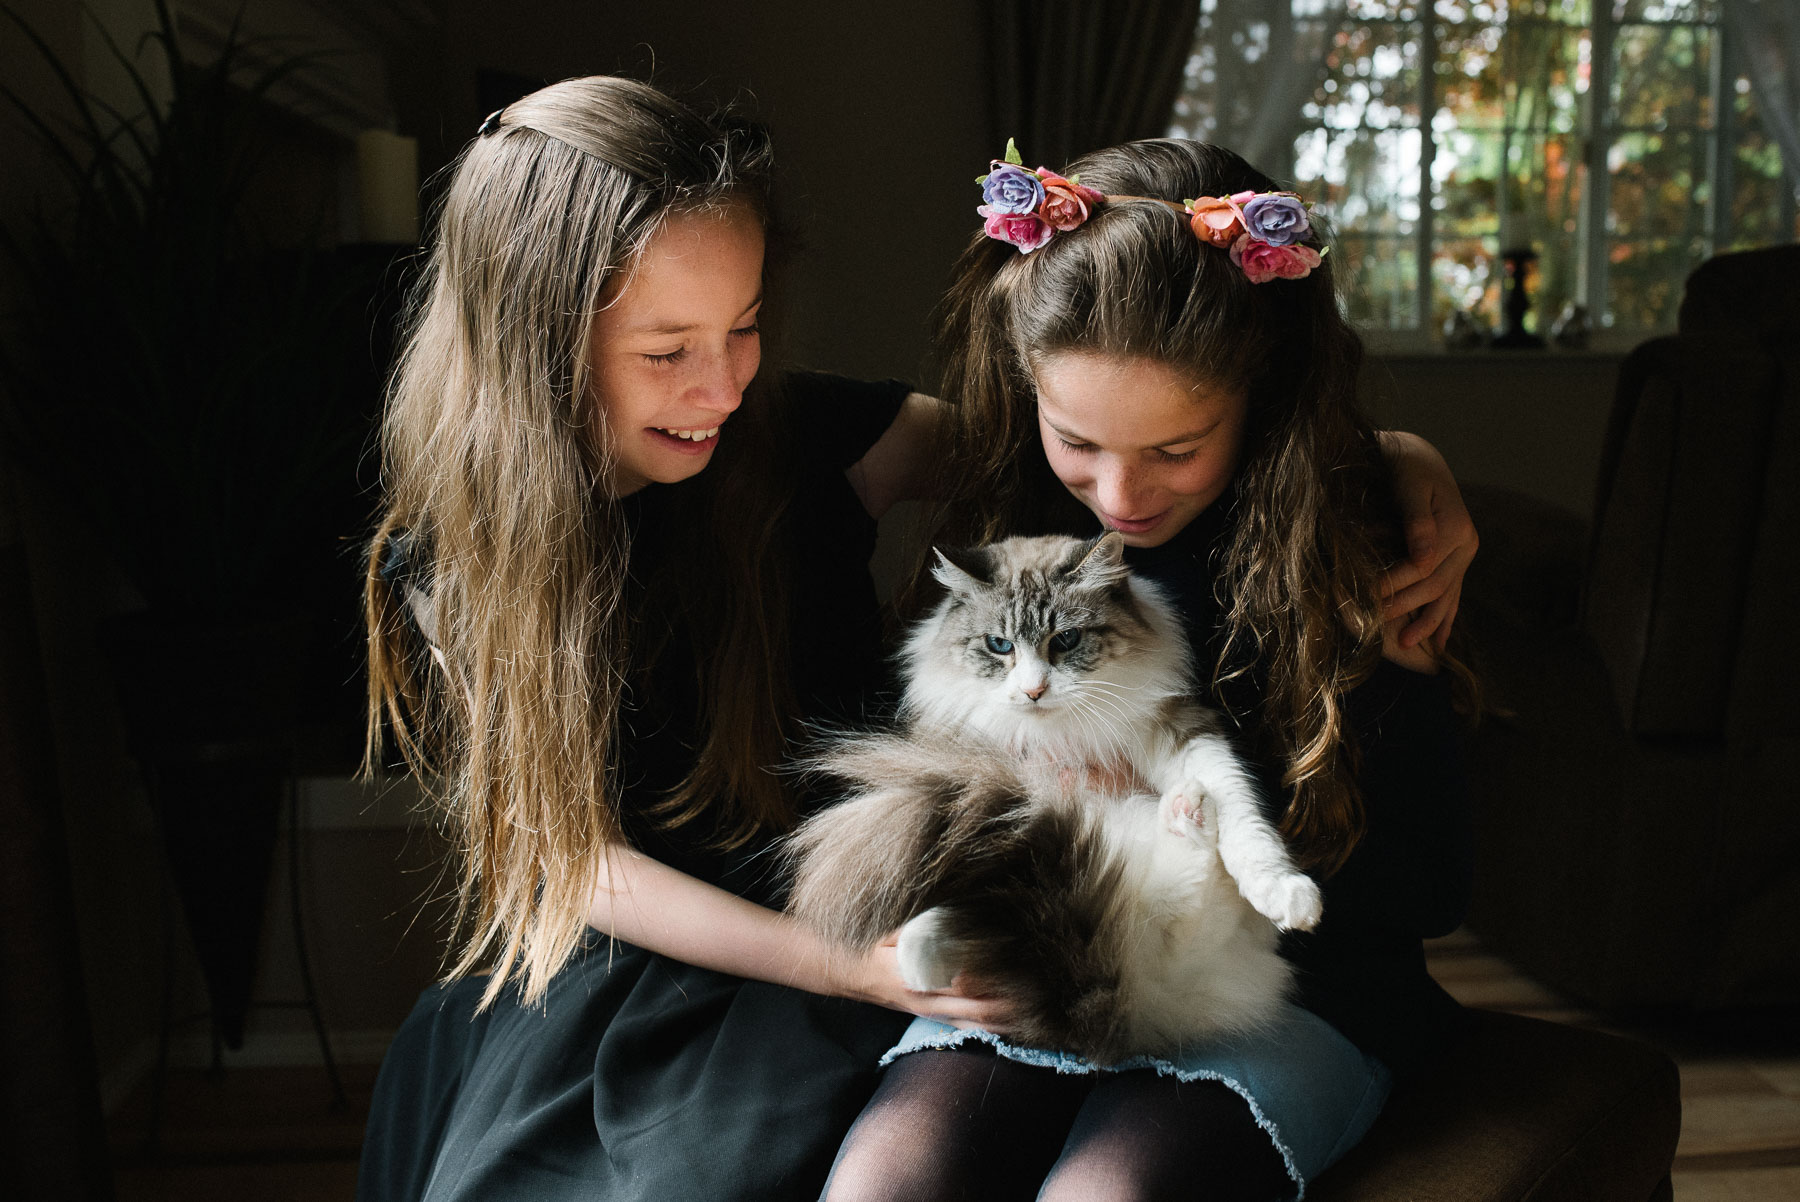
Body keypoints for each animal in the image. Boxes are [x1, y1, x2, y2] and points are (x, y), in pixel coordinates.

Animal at [788, 532, 1324, 1058]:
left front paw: (1288, 895)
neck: (1054, 733)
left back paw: (1188, 810)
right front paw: (921, 970)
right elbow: (949, 868)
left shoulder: (1182, 731)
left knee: (1194, 902)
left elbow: (1242, 816)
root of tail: (1131, 988)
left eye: (1065, 640)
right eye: (999, 645)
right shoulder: (972, 783)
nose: (1033, 692)